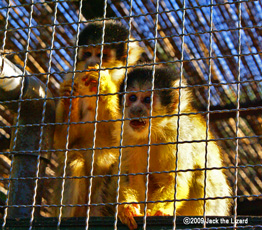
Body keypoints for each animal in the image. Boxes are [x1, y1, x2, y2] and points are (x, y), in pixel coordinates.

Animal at [53, 20, 143, 217]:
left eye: (102, 55)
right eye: (88, 54)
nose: (92, 62)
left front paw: (104, 84)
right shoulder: (74, 76)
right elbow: (66, 144)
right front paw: (68, 99)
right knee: (73, 160)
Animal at [100, 66, 231, 228]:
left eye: (147, 100)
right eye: (132, 98)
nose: (136, 110)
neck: (155, 129)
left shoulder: (178, 133)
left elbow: (175, 179)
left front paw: (159, 211)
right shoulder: (127, 133)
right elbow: (132, 176)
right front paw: (128, 208)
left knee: (202, 171)